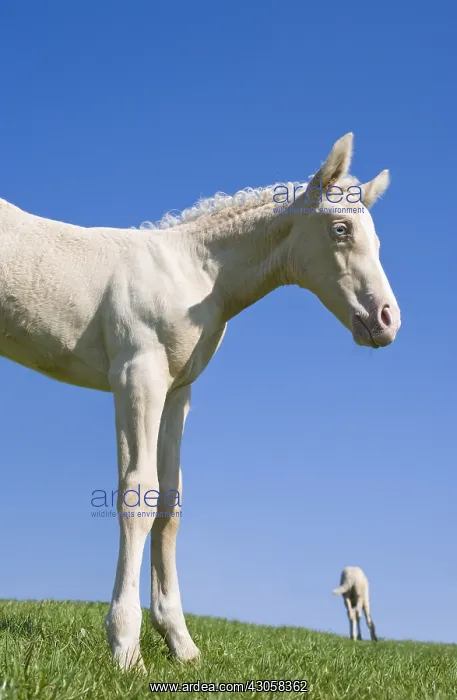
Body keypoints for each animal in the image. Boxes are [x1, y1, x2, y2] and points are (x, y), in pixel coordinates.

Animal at [0, 133, 400, 669]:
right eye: (341, 229)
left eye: (375, 239)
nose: (386, 320)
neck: (194, 274)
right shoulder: (137, 377)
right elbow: (138, 493)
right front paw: (126, 648)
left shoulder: (177, 392)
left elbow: (170, 505)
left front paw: (180, 643)